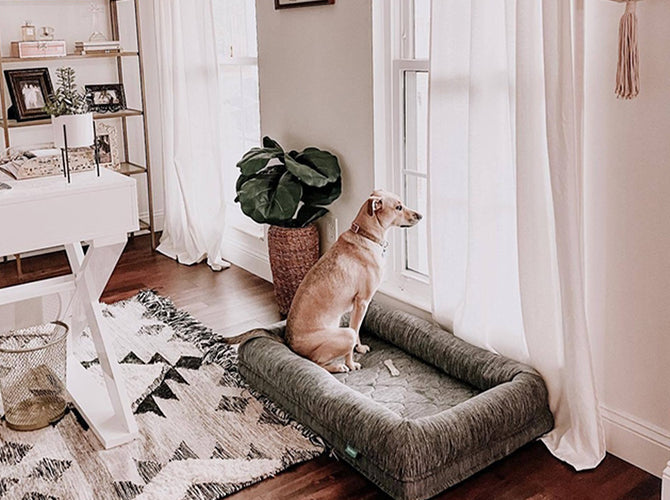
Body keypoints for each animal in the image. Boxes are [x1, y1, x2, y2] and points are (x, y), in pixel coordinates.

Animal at [286, 189, 422, 374]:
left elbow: (357, 330)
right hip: (343, 335)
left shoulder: (356, 306)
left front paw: (360, 347)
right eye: (398, 207)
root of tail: (291, 344)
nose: (420, 215)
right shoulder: (362, 302)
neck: (367, 235)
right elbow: (355, 332)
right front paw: (351, 363)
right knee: (316, 361)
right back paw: (338, 366)